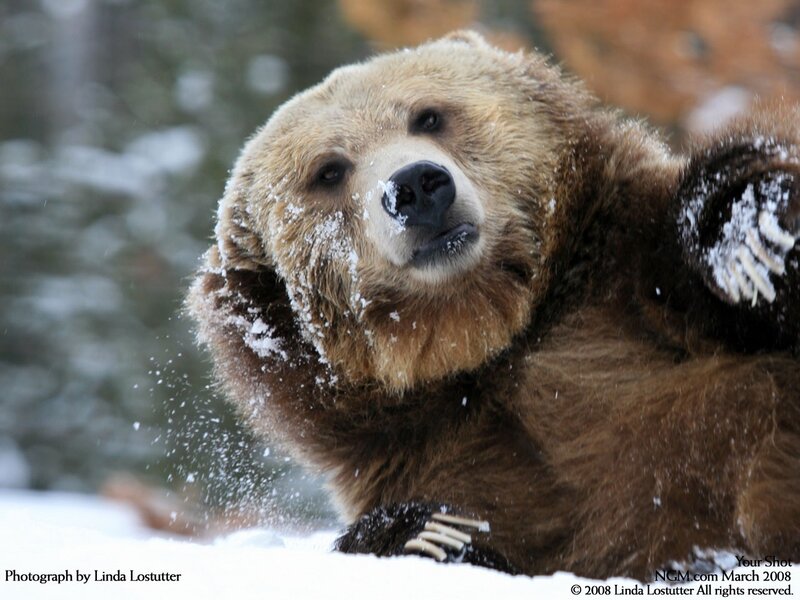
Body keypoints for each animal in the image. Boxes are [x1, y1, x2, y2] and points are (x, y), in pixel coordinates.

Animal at [187, 30, 800, 580]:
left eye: (428, 116)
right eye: (329, 170)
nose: (416, 186)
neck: (486, 329)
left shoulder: (632, 280)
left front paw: (750, 237)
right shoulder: (426, 449)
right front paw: (429, 534)